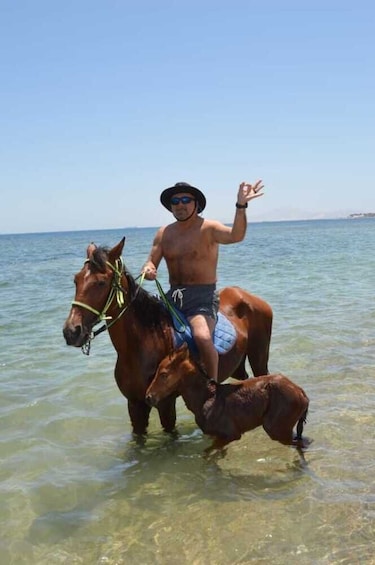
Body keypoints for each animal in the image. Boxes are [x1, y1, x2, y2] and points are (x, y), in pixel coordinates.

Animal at [62, 236, 274, 434]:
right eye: (76, 279)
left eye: (101, 282)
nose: (71, 331)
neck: (140, 345)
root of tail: (248, 296)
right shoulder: (135, 405)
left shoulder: (165, 403)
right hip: (237, 366)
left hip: (259, 357)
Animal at [145, 342, 310, 452]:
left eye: (163, 374)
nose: (148, 397)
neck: (203, 398)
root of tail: (303, 394)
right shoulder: (216, 435)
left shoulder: (232, 434)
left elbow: (206, 453)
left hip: (276, 429)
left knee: (302, 443)